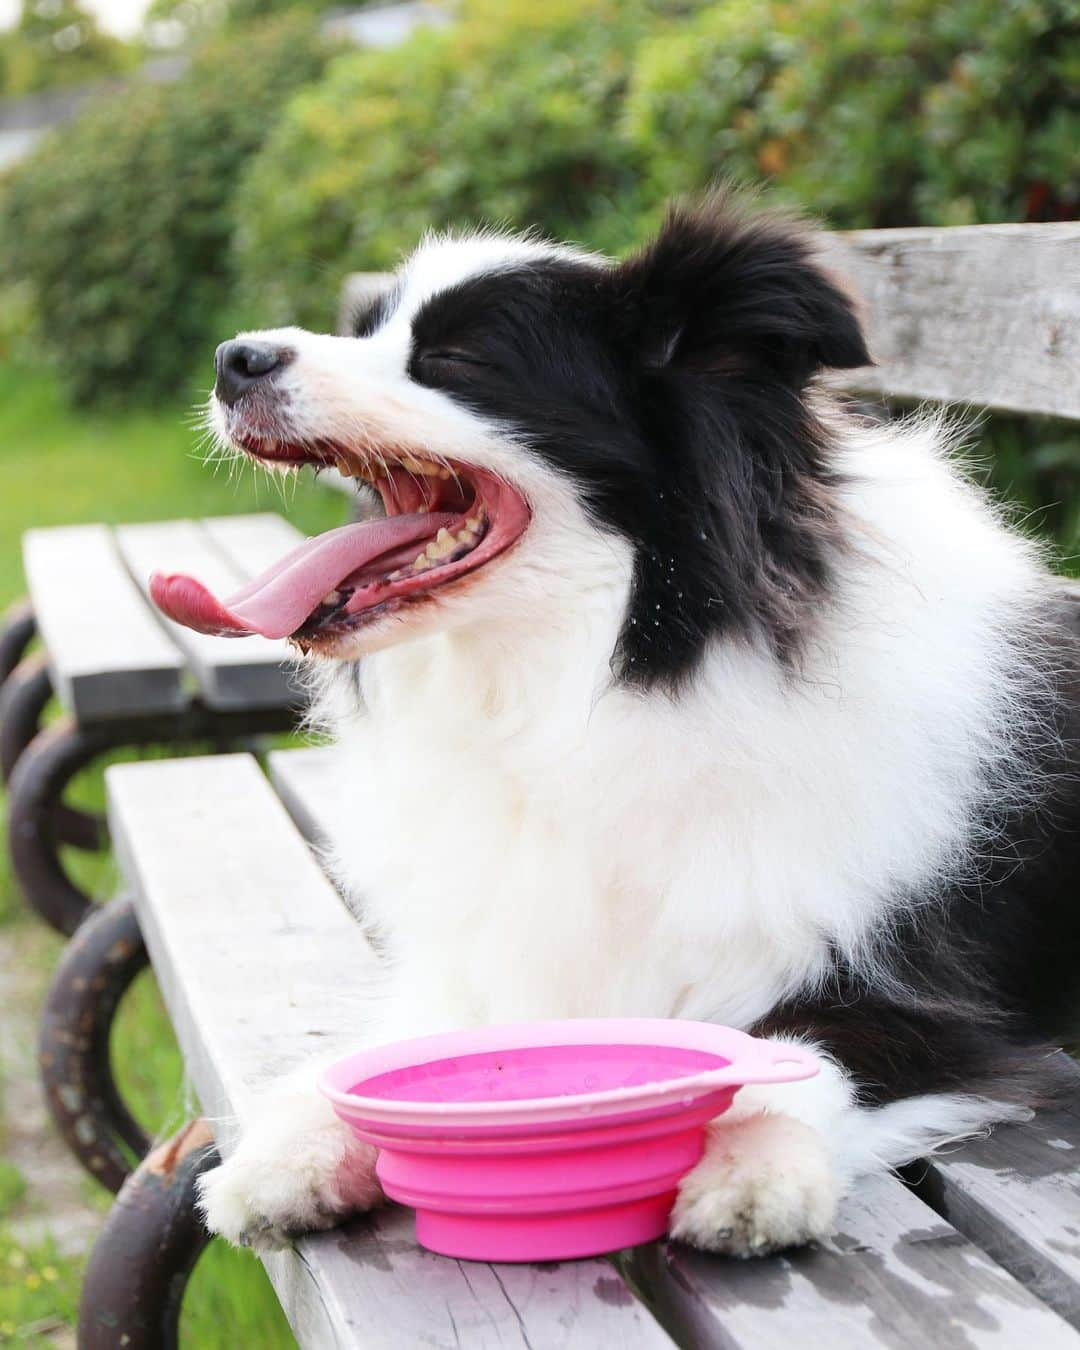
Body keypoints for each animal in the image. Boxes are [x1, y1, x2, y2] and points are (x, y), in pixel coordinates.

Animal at [151, 195, 1080, 1258]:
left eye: (458, 359)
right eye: (366, 329)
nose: (234, 359)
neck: (592, 681)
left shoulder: (925, 995)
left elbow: (800, 1050)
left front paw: (755, 1165)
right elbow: (387, 1054)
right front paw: (289, 1145)